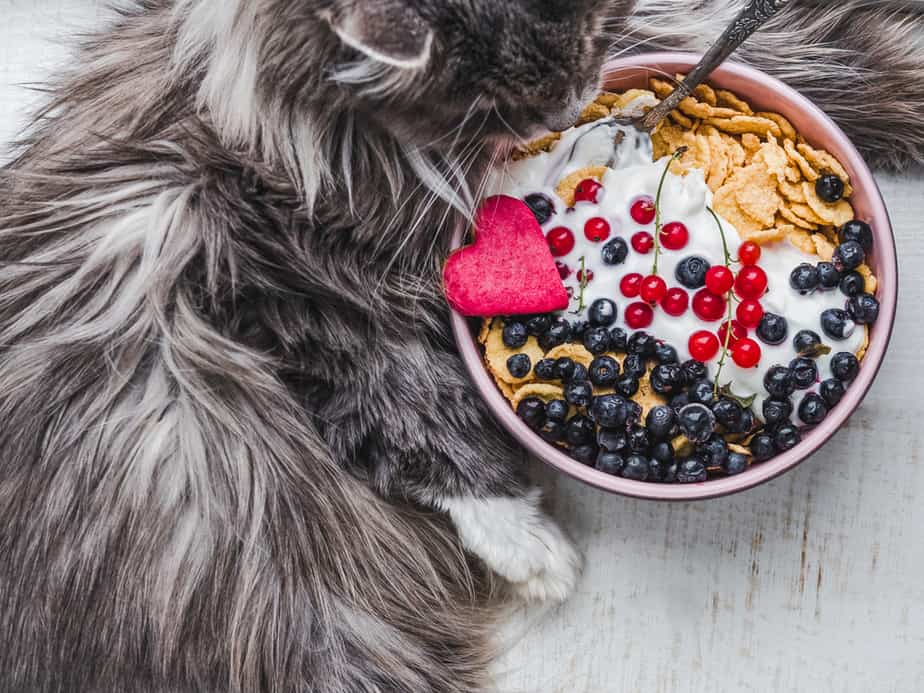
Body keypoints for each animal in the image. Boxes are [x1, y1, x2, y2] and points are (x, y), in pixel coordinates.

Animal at [0, 1, 920, 692]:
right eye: (498, 103)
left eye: (587, 45)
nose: (571, 106)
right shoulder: (279, 275)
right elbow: (410, 409)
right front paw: (528, 542)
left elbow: (805, 47)